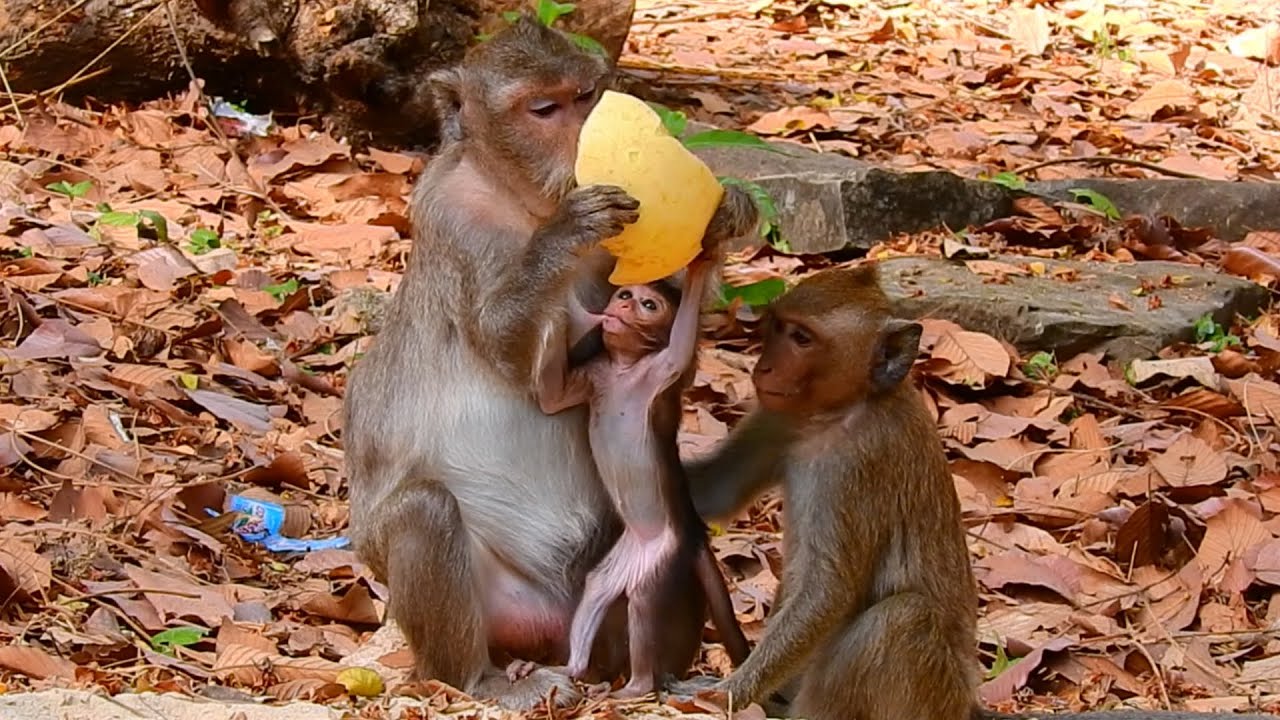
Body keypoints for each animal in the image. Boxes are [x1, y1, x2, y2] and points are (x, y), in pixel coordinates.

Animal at [535, 251, 751, 698]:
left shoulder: (661, 370)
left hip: (663, 558)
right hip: (623, 560)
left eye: (648, 305)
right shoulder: (594, 375)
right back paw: (573, 667)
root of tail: (694, 532)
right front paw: (555, 307)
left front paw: (702, 263)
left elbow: (681, 344)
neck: (625, 368)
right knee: (596, 589)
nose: (621, 306)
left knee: (644, 603)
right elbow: (551, 398)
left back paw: (637, 687)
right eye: (625, 295)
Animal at [674, 264, 1275, 720]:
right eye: (775, 327)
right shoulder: (781, 418)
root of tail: (965, 703)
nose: (764, 366)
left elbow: (828, 591)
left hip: (929, 697)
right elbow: (712, 493)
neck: (843, 409)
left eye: (801, 337)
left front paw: (726, 694)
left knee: (901, 618)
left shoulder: (857, 464)